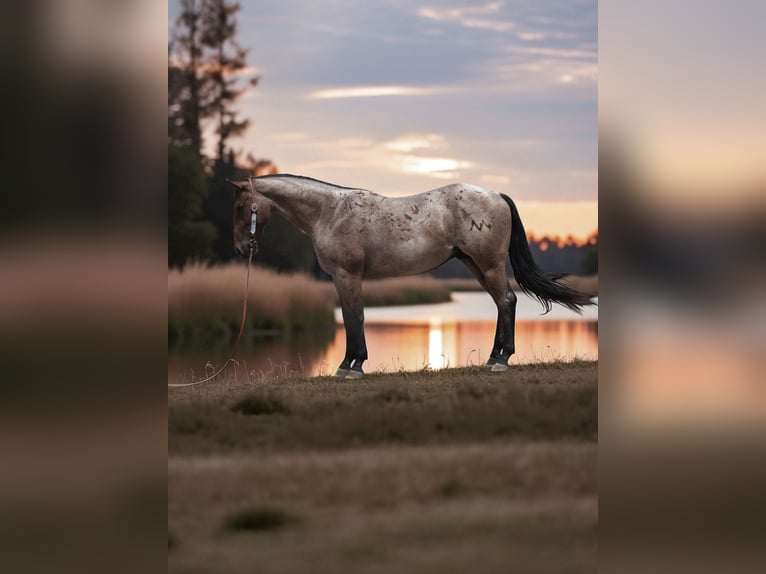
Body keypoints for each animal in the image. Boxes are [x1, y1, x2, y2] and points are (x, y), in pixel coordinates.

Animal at [226, 174, 593, 378]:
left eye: (241, 207)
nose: (242, 248)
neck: (328, 213)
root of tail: (496, 195)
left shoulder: (347, 276)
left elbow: (354, 317)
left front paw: (350, 365)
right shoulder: (342, 279)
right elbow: (352, 317)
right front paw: (352, 363)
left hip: (488, 265)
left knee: (507, 301)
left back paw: (502, 360)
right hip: (475, 266)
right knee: (504, 303)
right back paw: (493, 357)